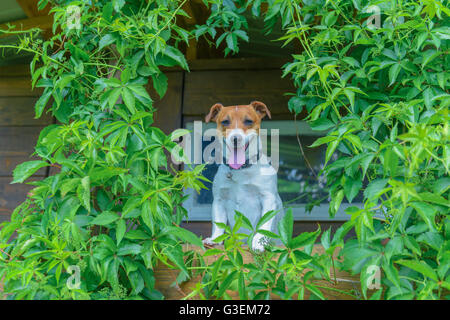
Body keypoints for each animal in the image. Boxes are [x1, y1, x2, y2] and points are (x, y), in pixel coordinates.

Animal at [201, 101, 284, 251]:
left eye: (248, 121)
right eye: (225, 121)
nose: (235, 138)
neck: (240, 170)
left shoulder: (268, 198)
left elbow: (264, 225)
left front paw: (258, 242)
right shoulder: (219, 200)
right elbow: (218, 223)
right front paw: (215, 239)